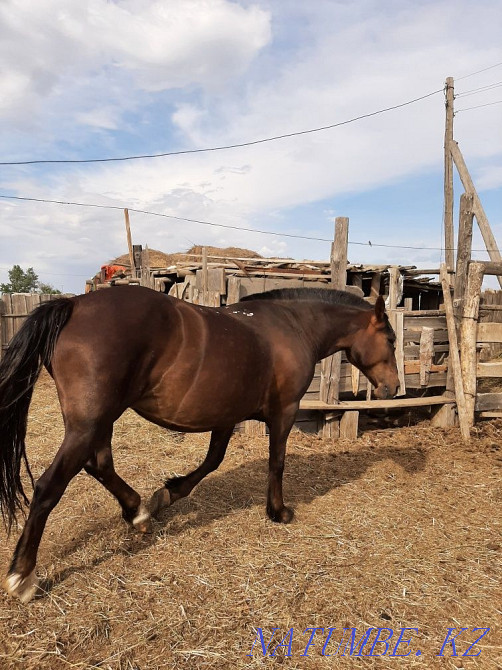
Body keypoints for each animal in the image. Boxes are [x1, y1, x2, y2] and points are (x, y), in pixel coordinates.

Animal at [0, 285, 399, 602]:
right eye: (392, 341)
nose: (393, 388)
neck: (292, 326)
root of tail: (74, 304)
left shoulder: (226, 416)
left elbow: (213, 461)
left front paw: (168, 493)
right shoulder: (284, 412)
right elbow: (276, 462)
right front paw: (278, 511)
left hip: (98, 423)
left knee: (99, 465)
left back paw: (138, 512)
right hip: (89, 424)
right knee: (49, 486)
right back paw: (22, 576)